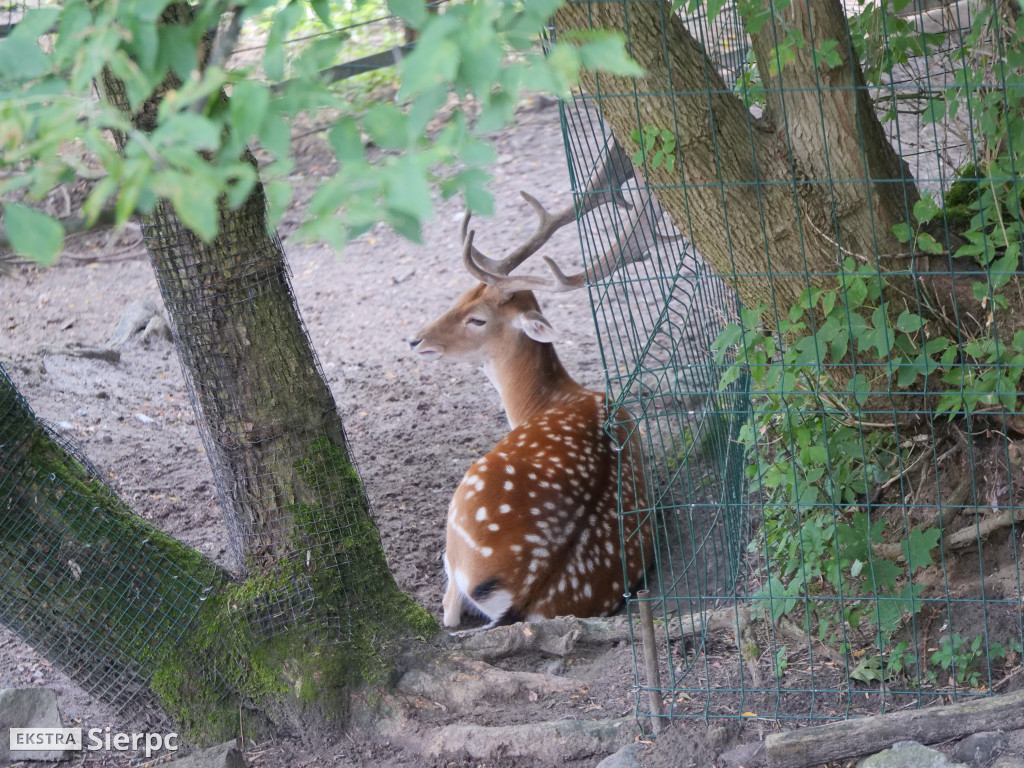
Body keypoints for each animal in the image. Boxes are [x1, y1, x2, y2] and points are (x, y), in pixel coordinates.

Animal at [407, 143, 671, 626]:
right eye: (462, 295)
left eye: (478, 319)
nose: (416, 339)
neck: (545, 401)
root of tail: (525, 593)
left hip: (462, 506)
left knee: (449, 610)